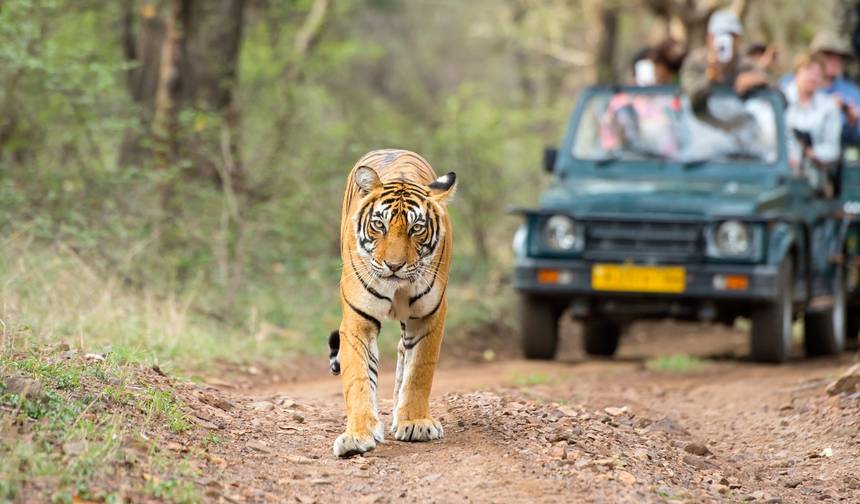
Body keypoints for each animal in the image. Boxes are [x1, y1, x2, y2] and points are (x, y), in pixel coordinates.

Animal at [328, 149, 456, 458]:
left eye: (416, 228)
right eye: (379, 225)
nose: (394, 266)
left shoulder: (429, 316)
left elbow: (419, 371)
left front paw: (415, 422)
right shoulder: (357, 320)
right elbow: (359, 378)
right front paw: (357, 435)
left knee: (403, 353)